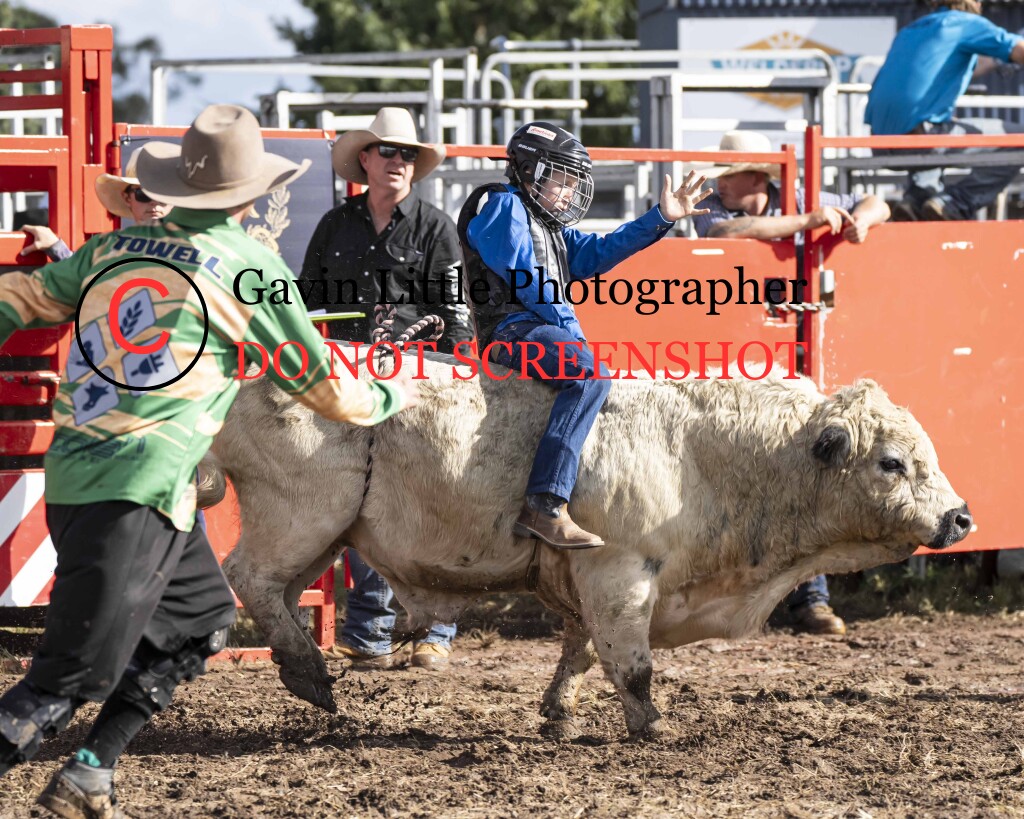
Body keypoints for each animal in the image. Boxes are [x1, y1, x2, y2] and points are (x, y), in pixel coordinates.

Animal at [204, 351, 971, 740]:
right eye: (892, 462)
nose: (961, 518)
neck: (709, 454)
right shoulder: (620, 570)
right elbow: (629, 661)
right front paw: (650, 725)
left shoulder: (585, 580)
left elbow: (577, 646)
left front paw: (558, 711)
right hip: (301, 514)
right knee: (250, 576)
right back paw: (309, 671)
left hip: (322, 535)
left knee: (275, 590)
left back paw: (302, 671)